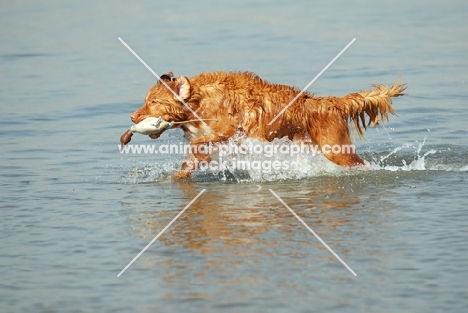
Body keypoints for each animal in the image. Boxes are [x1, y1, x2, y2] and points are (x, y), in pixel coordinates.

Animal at [128, 71, 406, 178]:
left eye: (153, 102)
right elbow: (190, 160)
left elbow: (200, 143)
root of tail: (327, 102)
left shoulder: (230, 132)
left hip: (336, 150)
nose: (132, 118)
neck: (199, 102)